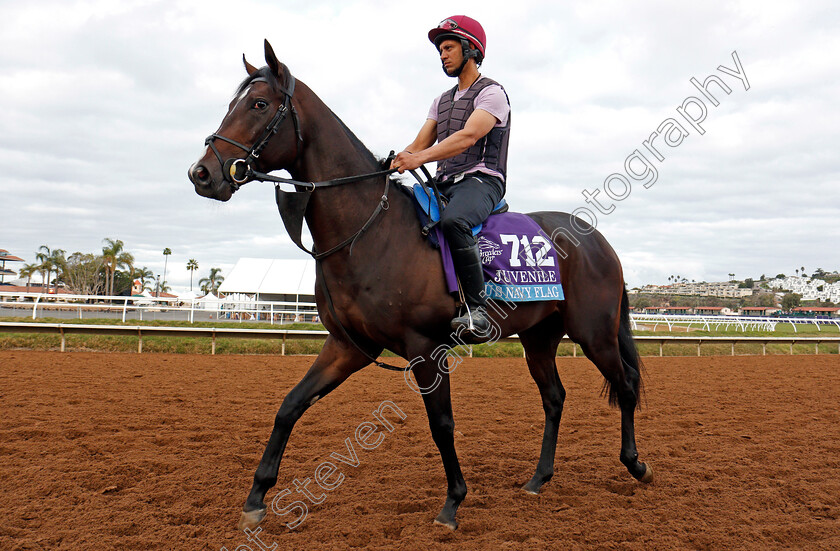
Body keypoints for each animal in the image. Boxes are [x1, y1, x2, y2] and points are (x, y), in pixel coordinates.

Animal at [187, 38, 652, 532]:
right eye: (231, 104)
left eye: (258, 104)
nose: (202, 173)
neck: (370, 230)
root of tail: (598, 241)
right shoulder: (348, 346)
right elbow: (290, 406)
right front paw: (256, 497)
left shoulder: (427, 349)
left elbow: (441, 424)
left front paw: (452, 502)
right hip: (539, 338)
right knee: (554, 398)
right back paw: (538, 478)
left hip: (594, 333)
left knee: (625, 385)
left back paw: (636, 464)